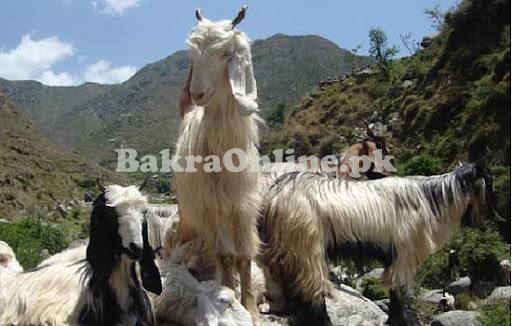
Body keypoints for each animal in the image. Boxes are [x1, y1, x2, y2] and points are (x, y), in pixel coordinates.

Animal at [175, 5, 264, 324]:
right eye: (192, 54)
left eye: (226, 53)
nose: (197, 94)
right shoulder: (211, 206)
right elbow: (226, 256)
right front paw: (230, 295)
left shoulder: (243, 206)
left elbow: (245, 256)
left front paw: (250, 307)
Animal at [262, 166, 502, 326]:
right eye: (489, 184)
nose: (495, 218)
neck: (430, 201)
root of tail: (275, 193)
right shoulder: (404, 254)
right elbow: (399, 292)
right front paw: (400, 321)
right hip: (306, 244)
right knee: (311, 286)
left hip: (289, 245)